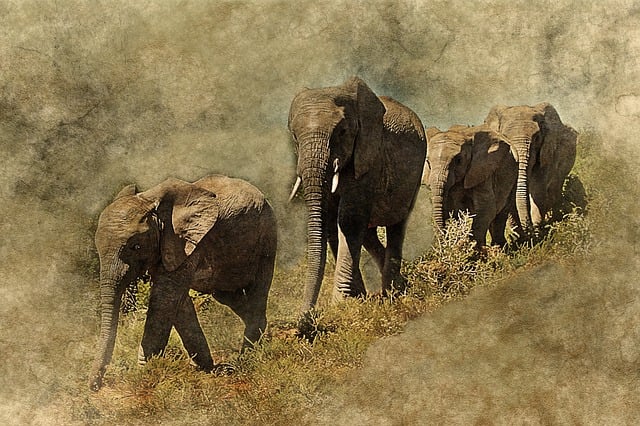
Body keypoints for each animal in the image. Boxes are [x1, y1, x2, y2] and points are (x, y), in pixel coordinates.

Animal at [89, 174, 277, 391]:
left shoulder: (187, 243)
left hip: (267, 236)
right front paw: (208, 368)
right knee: (227, 296)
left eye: (136, 246)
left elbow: (165, 300)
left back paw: (246, 359)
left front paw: (146, 375)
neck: (152, 203)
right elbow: (178, 304)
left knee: (258, 289)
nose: (94, 386)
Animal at [287, 76, 426, 317]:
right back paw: (400, 284)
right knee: (368, 232)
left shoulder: (368, 157)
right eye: (295, 137)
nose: (305, 317)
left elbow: (349, 220)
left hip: (413, 178)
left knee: (397, 225)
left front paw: (342, 302)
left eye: (342, 132)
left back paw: (393, 292)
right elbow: (330, 223)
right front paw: (357, 298)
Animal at [484, 103, 578, 231]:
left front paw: (537, 230)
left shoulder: (547, 151)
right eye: (505, 137)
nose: (528, 228)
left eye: (537, 138)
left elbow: (538, 189)